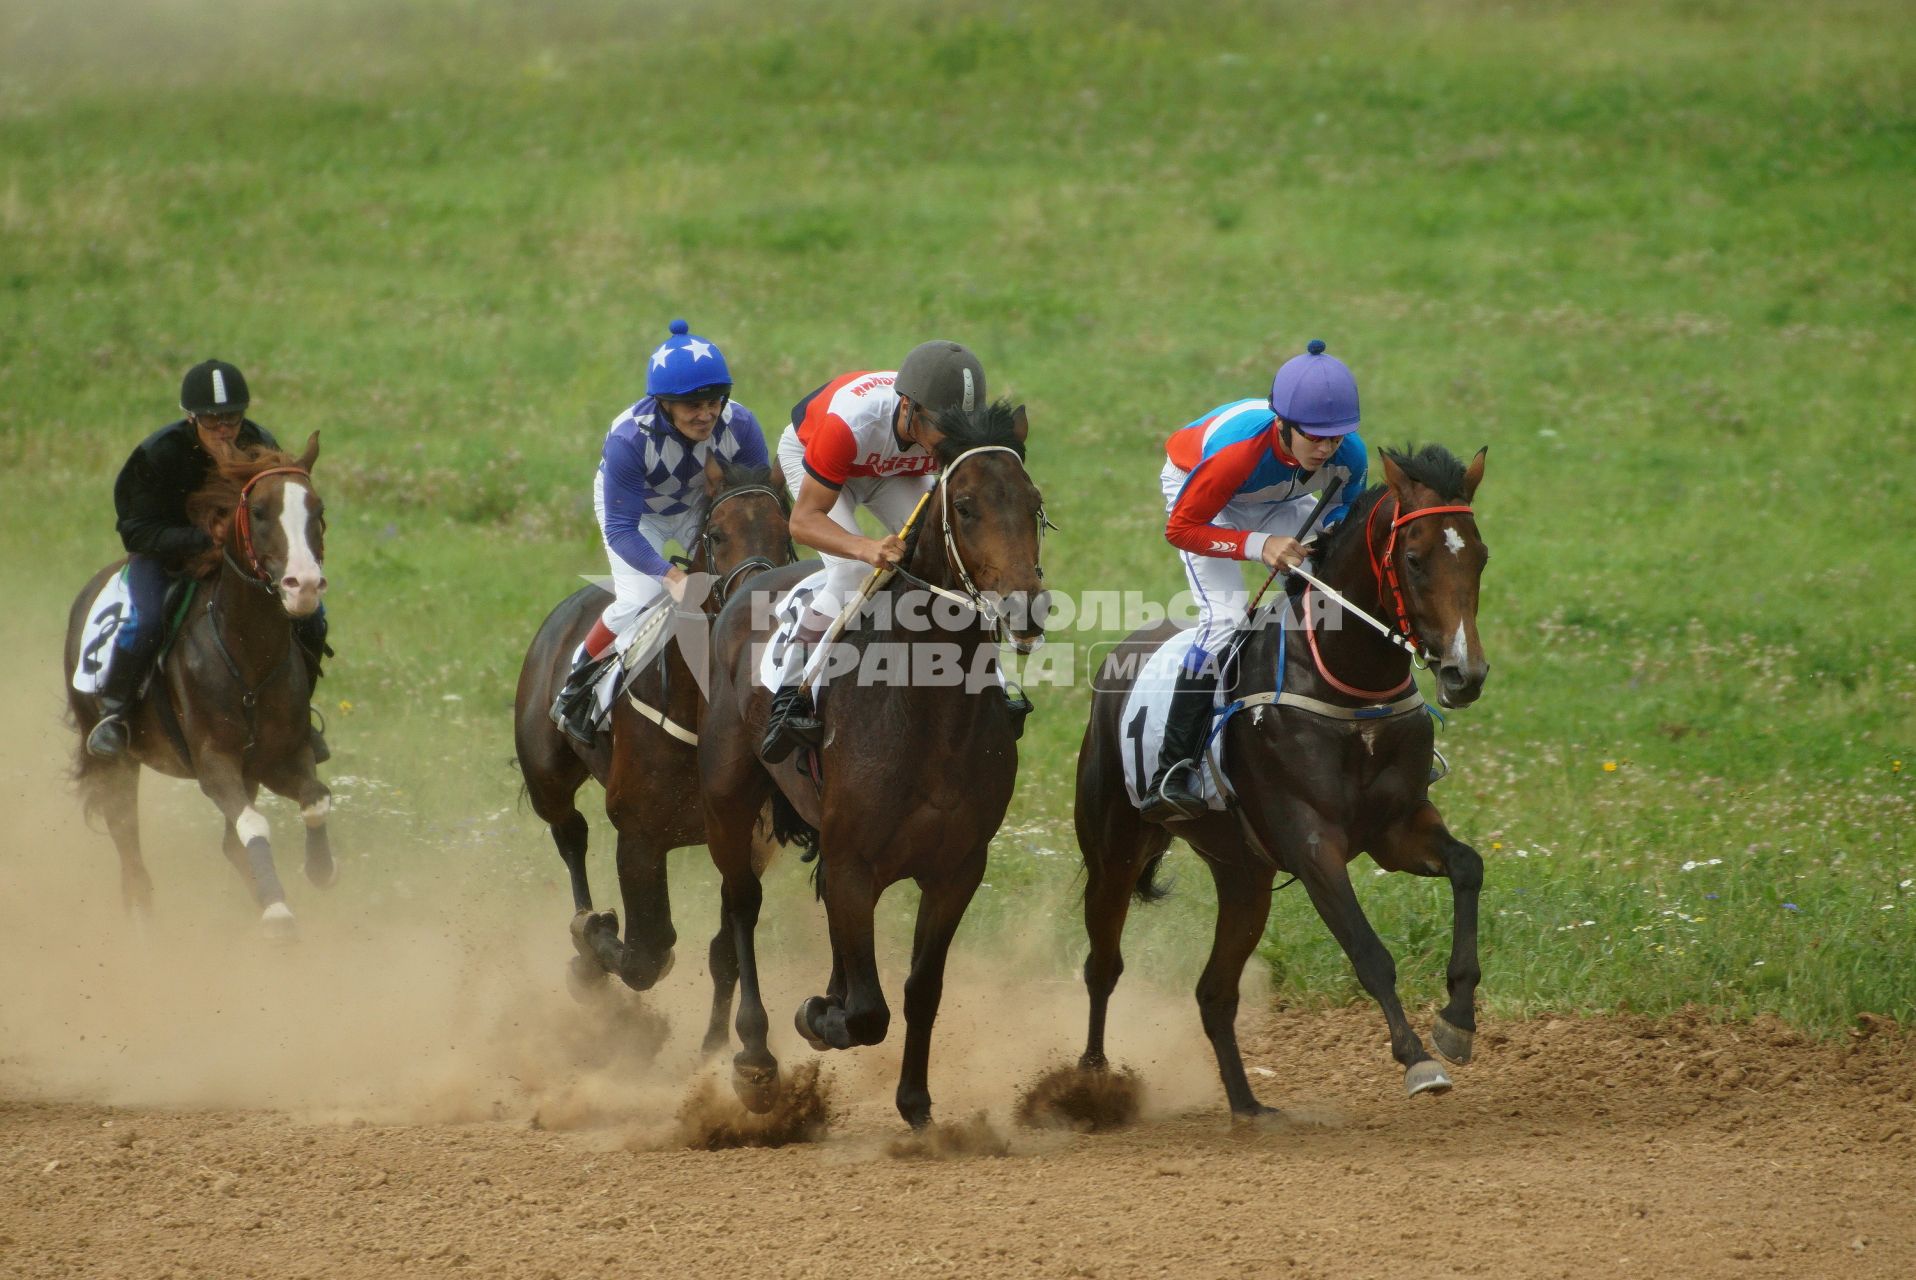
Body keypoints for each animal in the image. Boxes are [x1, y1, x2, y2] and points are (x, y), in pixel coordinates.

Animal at [62, 434, 333, 946]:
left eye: (317, 508)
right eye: (260, 511)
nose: (303, 585)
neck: (247, 656)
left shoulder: (279, 756)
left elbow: (315, 801)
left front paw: (319, 868)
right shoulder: (213, 762)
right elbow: (253, 824)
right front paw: (278, 914)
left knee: (229, 844)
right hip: (116, 763)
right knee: (130, 851)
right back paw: (143, 926)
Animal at [509, 459, 793, 996]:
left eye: (785, 532)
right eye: (717, 535)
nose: (759, 609)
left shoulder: (749, 841)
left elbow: (722, 951)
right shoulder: (639, 832)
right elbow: (647, 956)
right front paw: (593, 945)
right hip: (545, 774)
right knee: (569, 831)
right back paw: (585, 929)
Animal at [697, 400, 1049, 1126]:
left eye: (1033, 504)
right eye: (965, 506)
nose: (1025, 606)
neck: (932, 717)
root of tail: (749, 583)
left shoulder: (957, 869)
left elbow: (920, 989)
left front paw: (915, 1103)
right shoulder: (858, 862)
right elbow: (867, 1011)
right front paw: (819, 1017)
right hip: (728, 800)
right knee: (741, 908)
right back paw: (754, 1056)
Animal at [1072, 444, 1486, 1111]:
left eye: (1480, 556)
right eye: (1415, 559)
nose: (1464, 674)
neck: (1348, 687)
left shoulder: (1397, 829)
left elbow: (1468, 866)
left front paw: (1457, 1022)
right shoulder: (1312, 843)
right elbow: (1369, 952)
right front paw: (1417, 1059)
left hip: (1244, 876)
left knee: (1213, 994)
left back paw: (1248, 1108)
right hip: (1114, 850)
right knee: (1102, 966)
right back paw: (1088, 1083)